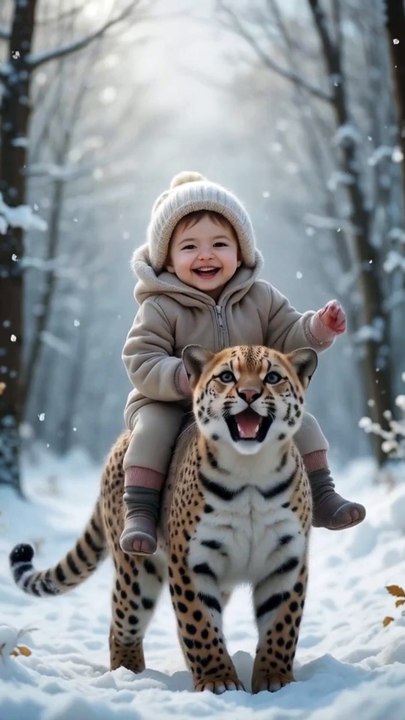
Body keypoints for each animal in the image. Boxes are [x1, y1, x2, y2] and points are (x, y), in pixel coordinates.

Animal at [10, 344, 317, 694]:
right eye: (227, 376)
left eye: (273, 377)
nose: (250, 394)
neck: (250, 471)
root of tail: (120, 442)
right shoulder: (191, 561)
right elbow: (199, 623)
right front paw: (218, 680)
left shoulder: (287, 560)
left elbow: (281, 625)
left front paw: (275, 680)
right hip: (136, 570)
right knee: (122, 621)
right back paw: (129, 675)